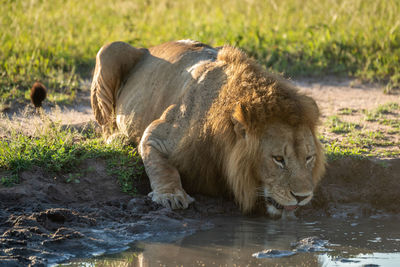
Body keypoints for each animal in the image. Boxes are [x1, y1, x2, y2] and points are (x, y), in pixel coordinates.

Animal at [90, 40, 324, 220]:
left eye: (309, 158)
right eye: (278, 159)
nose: (303, 196)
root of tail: (149, 47)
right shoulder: (157, 135)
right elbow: (161, 167)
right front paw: (171, 195)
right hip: (109, 50)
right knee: (106, 125)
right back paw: (117, 139)